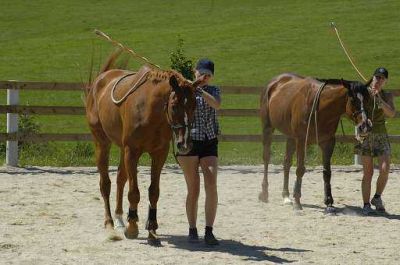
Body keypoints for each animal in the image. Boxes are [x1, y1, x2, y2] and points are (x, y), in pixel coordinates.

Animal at [85, 50, 202, 242]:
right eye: (174, 105)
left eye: (195, 105)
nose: (184, 143)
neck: (149, 110)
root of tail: (101, 80)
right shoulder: (132, 152)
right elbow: (134, 192)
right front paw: (132, 226)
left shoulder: (159, 154)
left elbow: (153, 191)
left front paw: (152, 228)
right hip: (102, 143)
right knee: (105, 184)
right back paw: (110, 223)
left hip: (121, 148)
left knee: (120, 179)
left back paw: (119, 219)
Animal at [258, 72, 370, 212]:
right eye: (353, 100)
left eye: (368, 99)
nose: (365, 126)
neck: (320, 108)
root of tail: (274, 82)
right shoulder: (301, 140)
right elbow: (300, 169)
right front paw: (297, 201)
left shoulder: (328, 142)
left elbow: (327, 172)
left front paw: (328, 201)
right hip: (268, 128)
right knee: (266, 158)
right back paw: (264, 193)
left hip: (291, 137)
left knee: (286, 163)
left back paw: (286, 196)